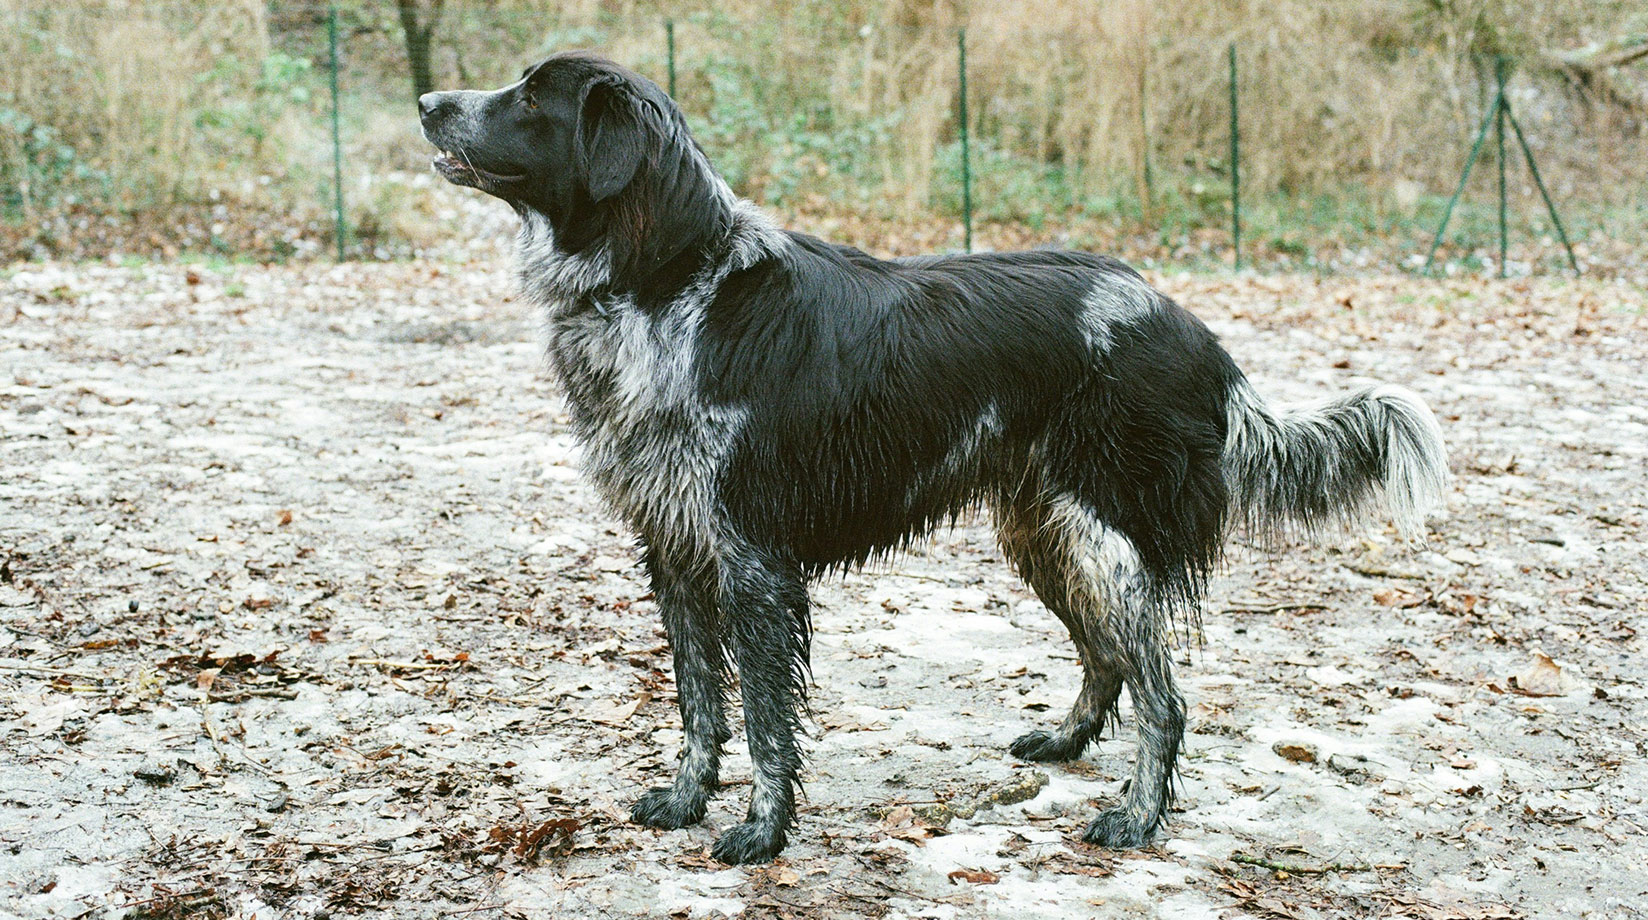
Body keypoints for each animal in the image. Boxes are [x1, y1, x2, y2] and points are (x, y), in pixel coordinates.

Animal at [418, 53, 1450, 870]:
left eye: (529, 96)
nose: (427, 100)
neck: (667, 283)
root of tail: (1194, 331)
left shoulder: (752, 562)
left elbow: (764, 718)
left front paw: (762, 832)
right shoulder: (674, 550)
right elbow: (699, 706)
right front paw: (684, 801)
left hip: (1103, 535)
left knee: (1165, 694)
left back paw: (1138, 818)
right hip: (1044, 533)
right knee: (1108, 657)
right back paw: (1067, 742)